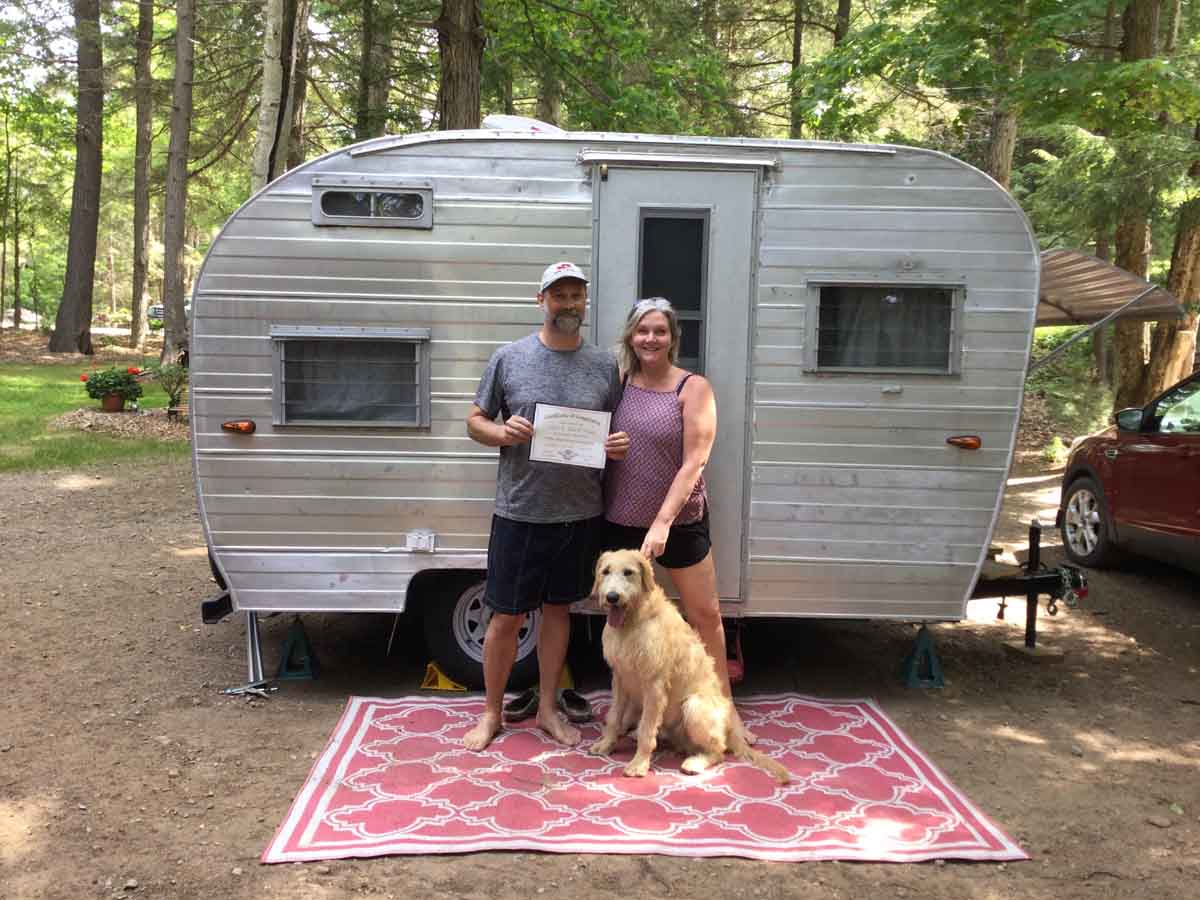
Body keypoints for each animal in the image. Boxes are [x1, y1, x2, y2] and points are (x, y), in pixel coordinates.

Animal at [588, 549, 787, 782]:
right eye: (605, 572)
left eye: (628, 572)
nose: (612, 597)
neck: (633, 622)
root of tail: (729, 730)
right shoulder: (619, 678)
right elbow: (613, 716)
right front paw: (606, 744)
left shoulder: (654, 686)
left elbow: (647, 730)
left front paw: (639, 764)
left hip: (693, 706)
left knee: (719, 751)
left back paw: (695, 763)